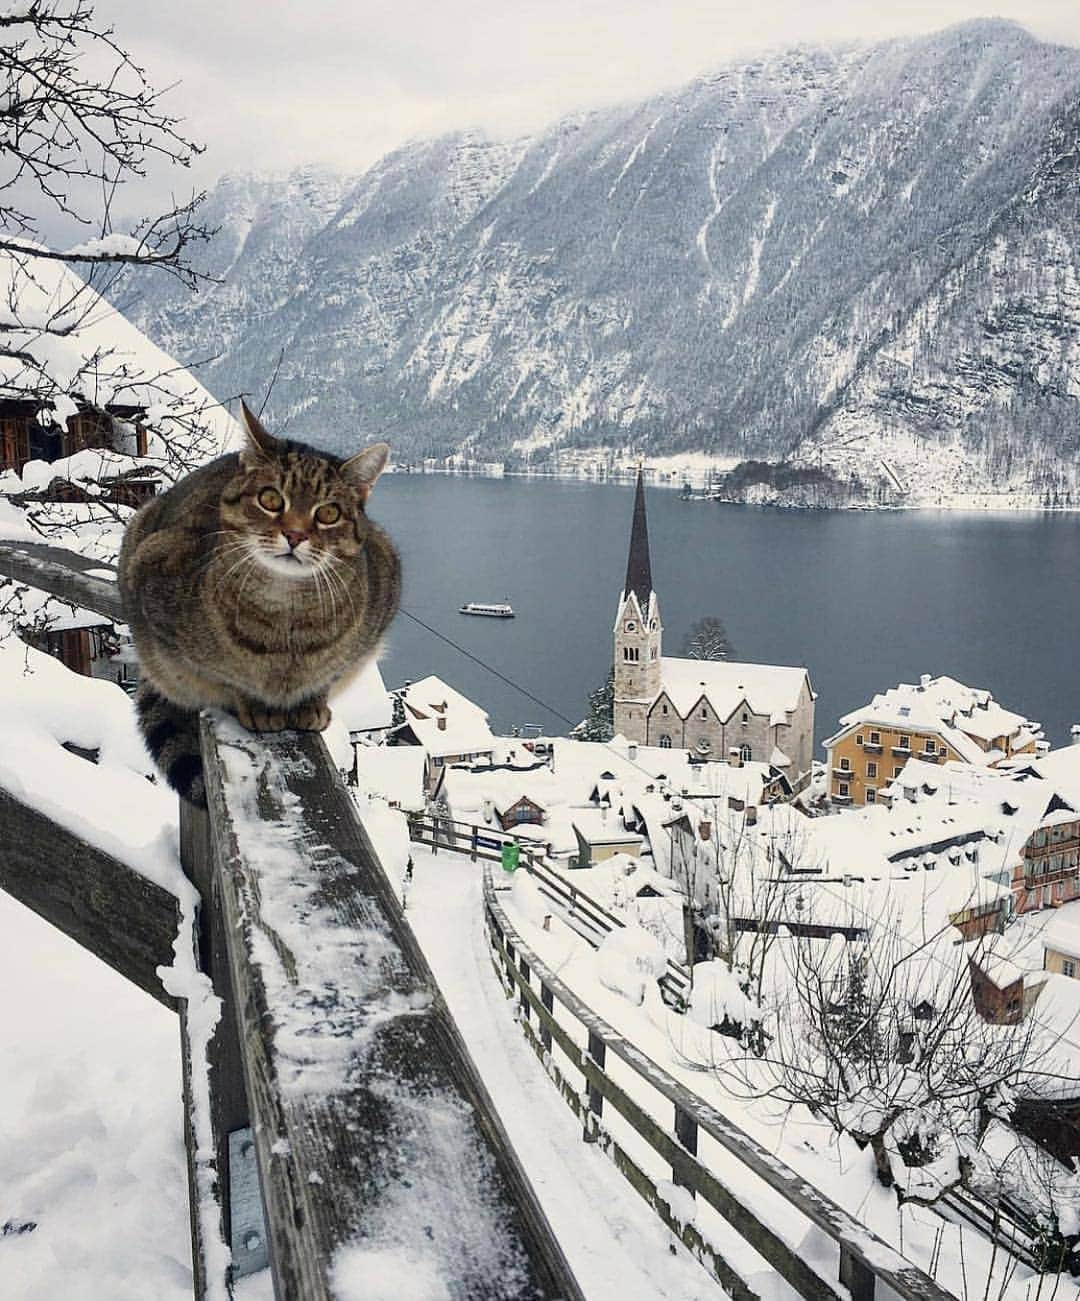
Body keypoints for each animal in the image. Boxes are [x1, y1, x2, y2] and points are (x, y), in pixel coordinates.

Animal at [118, 398, 403, 801]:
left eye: (328, 512)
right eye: (270, 498)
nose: (295, 534)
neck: (287, 616)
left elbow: (328, 675)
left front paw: (311, 704)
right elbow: (227, 678)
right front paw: (256, 705)